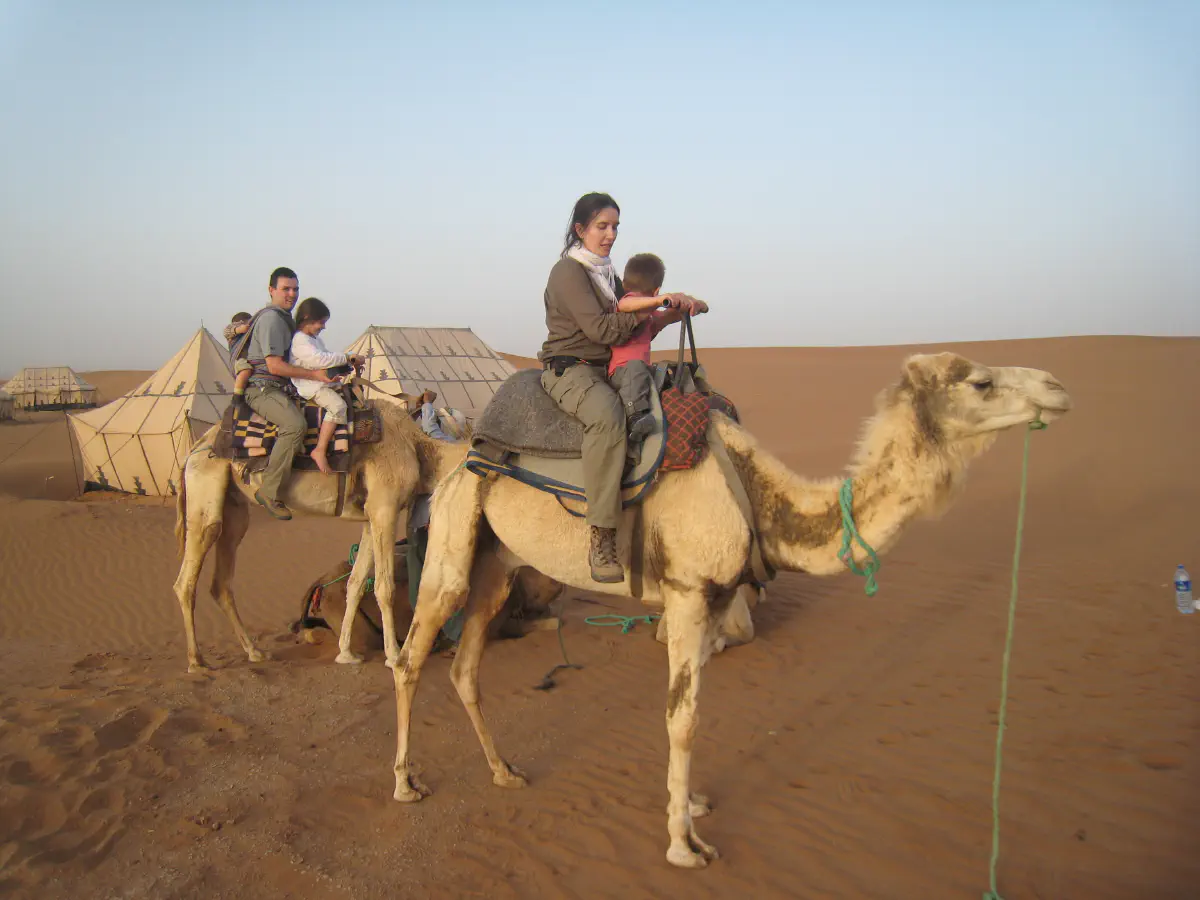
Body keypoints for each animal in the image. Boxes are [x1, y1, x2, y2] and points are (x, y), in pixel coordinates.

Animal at [381, 355, 1070, 873]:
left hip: (496, 562)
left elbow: (690, 713)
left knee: (466, 665)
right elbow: (682, 719)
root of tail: (459, 455)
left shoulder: (713, 601)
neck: (755, 492)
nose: (1058, 387)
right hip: (452, 543)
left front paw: (691, 807)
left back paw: (504, 772)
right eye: (979, 381)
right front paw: (684, 845)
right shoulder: (687, 592)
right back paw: (406, 783)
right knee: (413, 656)